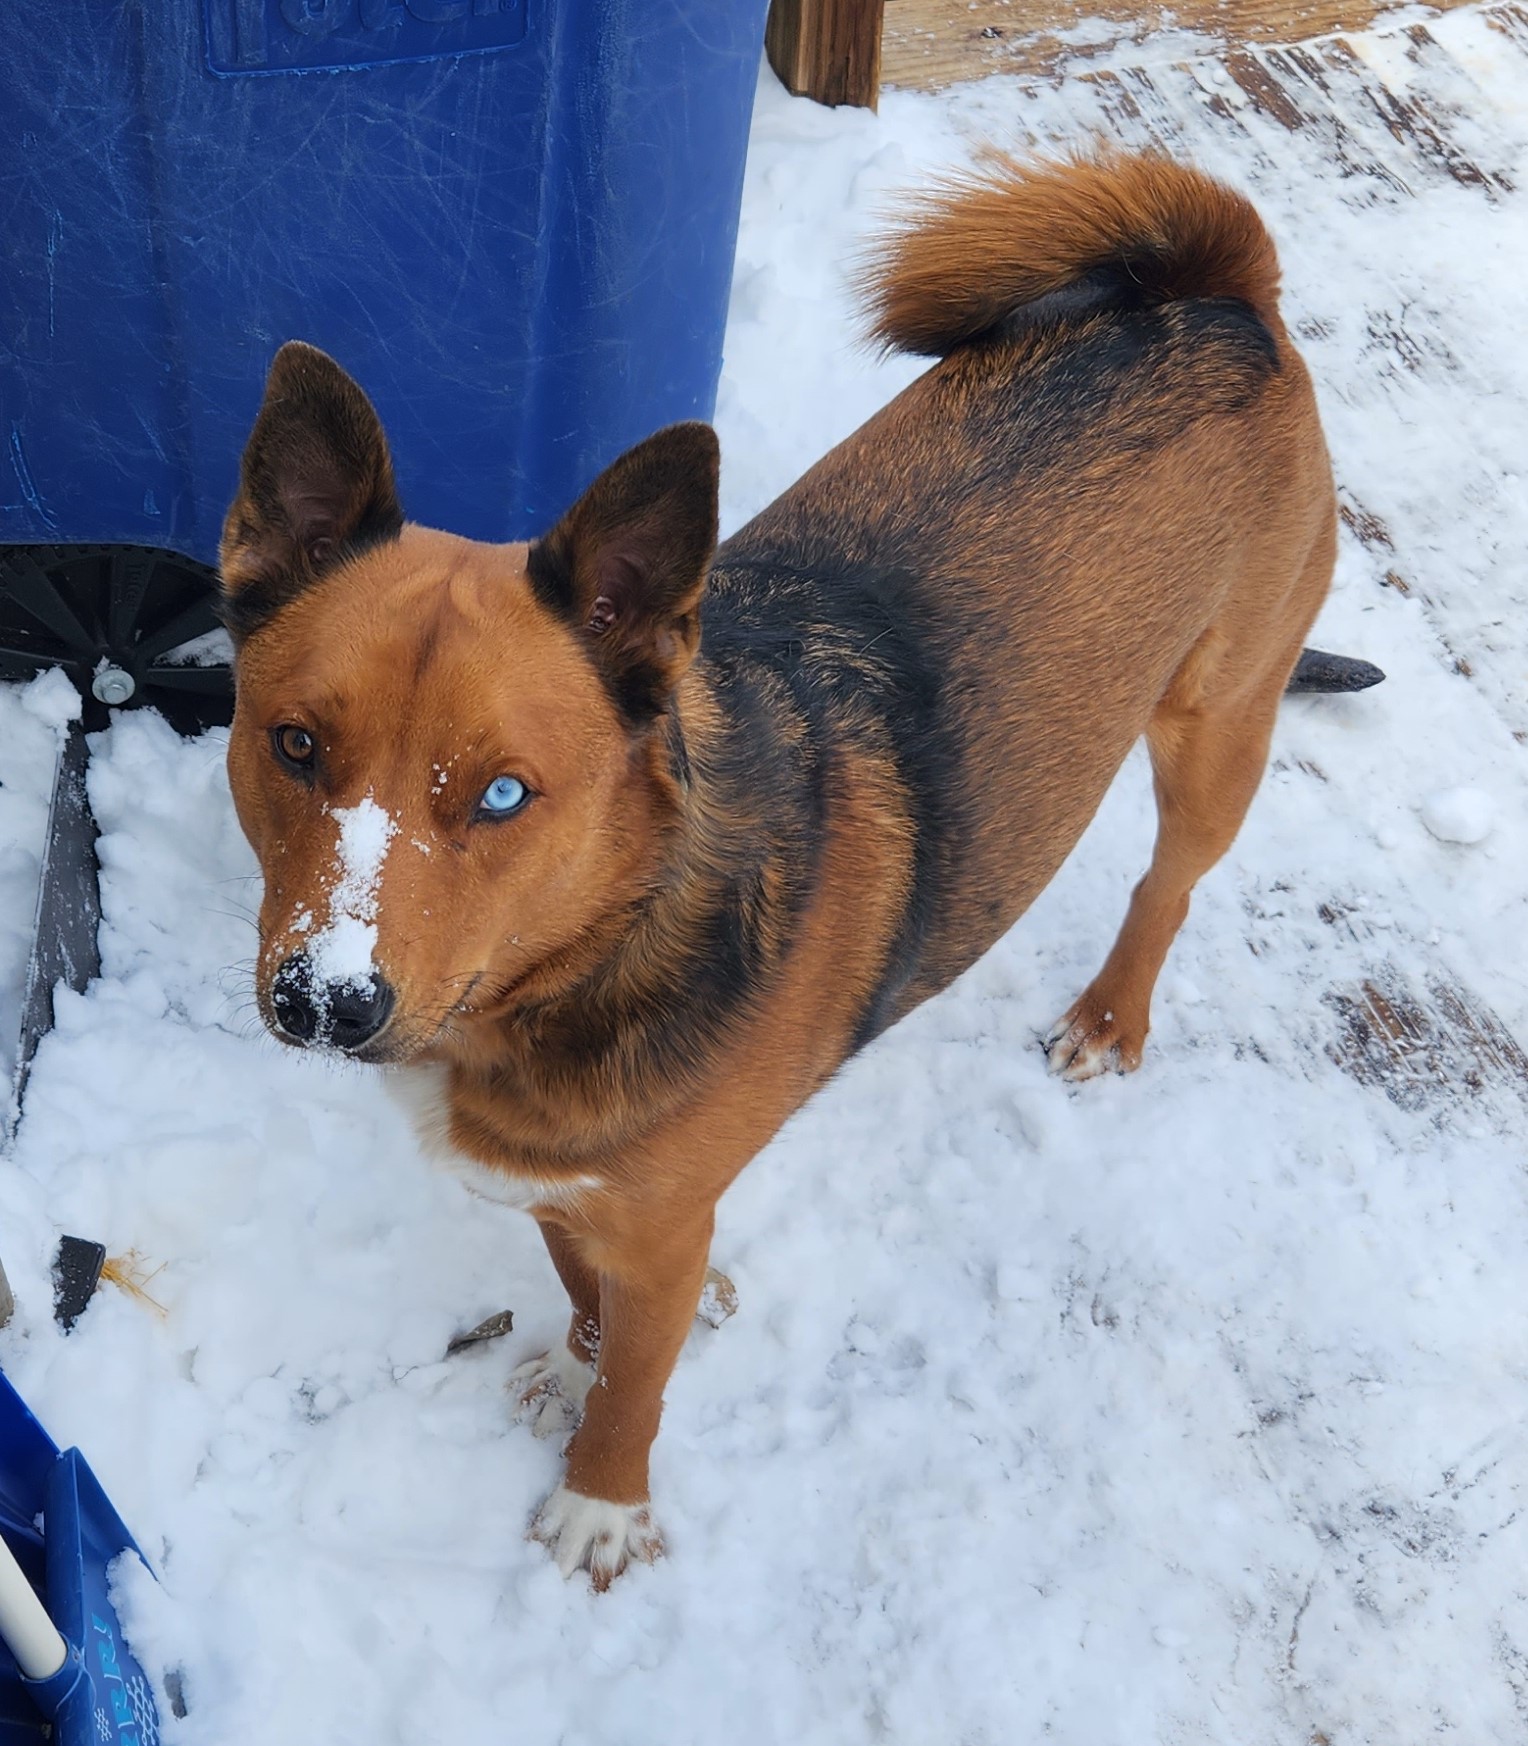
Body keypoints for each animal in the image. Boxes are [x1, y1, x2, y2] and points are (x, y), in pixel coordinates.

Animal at [218, 157, 1341, 1592]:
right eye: (294, 745)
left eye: (505, 794)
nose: (325, 1001)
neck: (595, 952)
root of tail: (1216, 300)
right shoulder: (580, 1193)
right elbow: (591, 1298)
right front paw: (585, 1358)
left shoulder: (654, 1214)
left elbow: (637, 1380)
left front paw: (601, 1501)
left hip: (1220, 724)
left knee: (1169, 881)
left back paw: (1110, 1015)